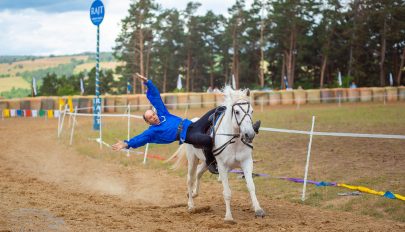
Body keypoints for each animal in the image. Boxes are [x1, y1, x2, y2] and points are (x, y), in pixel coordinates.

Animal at [170, 86, 266, 222]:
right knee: (190, 179)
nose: (250, 134)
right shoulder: (222, 166)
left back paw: (193, 193)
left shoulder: (247, 162)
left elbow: (251, 186)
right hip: (192, 159)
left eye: (252, 111)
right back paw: (191, 205)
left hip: (207, 162)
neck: (233, 140)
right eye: (237, 112)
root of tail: (192, 123)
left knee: (198, 173)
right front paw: (228, 217)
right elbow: (227, 193)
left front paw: (258, 210)